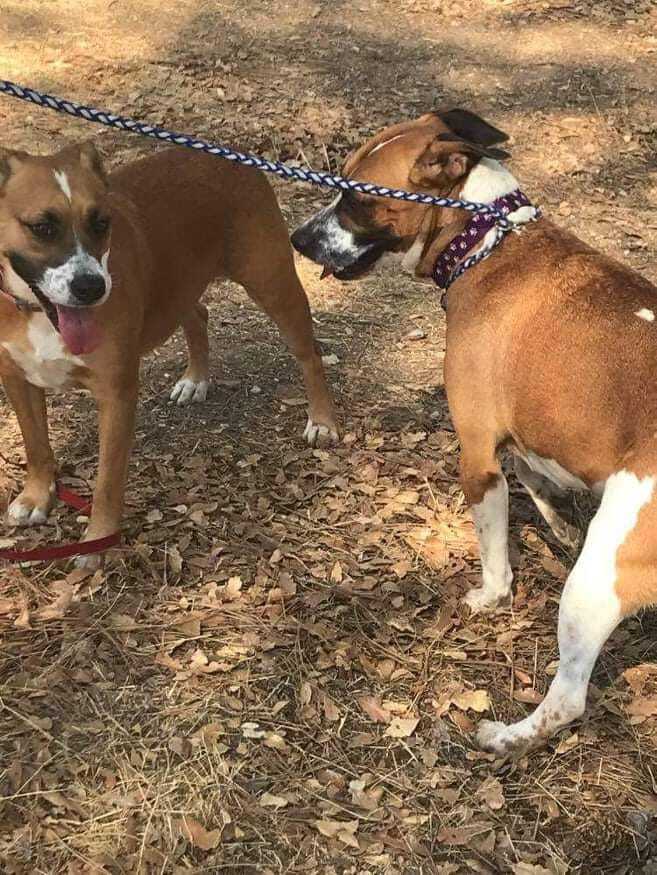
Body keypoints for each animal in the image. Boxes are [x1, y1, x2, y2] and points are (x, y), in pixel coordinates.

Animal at [0, 142, 338, 568]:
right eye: (42, 227)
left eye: (101, 223)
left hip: (273, 284)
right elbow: (37, 446)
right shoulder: (17, 381)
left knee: (308, 354)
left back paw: (322, 418)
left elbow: (107, 481)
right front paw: (36, 496)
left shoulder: (116, 396)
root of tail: (227, 152)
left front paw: (98, 539)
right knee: (198, 314)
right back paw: (195, 379)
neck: (35, 312)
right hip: (182, 284)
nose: (93, 287)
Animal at [292, 108, 657, 752]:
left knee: (569, 698)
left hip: (594, 582)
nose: (297, 238)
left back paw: (507, 736)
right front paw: (559, 517)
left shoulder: (478, 453)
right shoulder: (529, 429)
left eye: (356, 198)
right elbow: (535, 471)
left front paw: (490, 594)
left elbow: (493, 546)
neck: (487, 243)